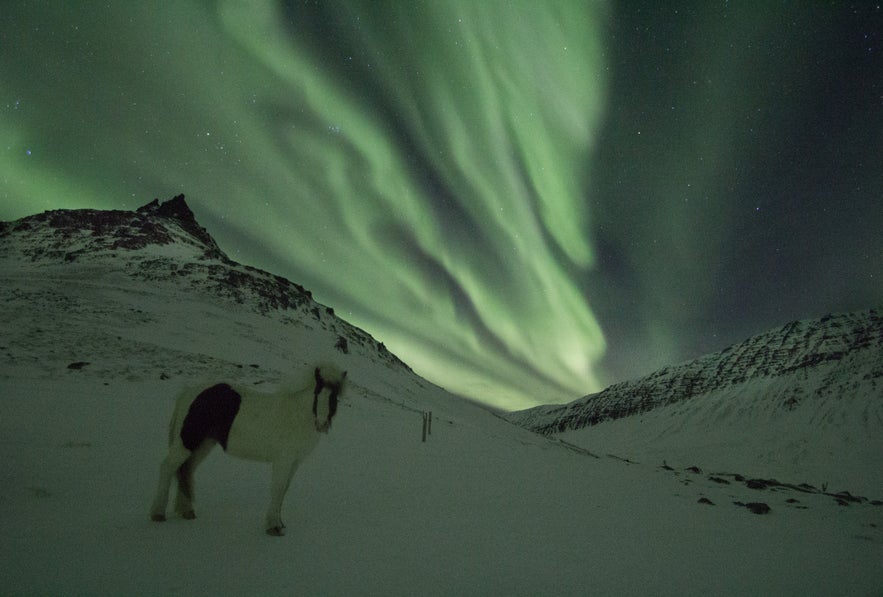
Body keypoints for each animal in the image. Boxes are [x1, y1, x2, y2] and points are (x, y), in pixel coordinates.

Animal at [150, 364, 348, 536]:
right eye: (317, 393)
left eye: (334, 397)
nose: (321, 424)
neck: (297, 416)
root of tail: (189, 392)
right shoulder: (283, 461)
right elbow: (278, 488)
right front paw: (273, 526)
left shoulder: (294, 462)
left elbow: (284, 489)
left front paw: (280, 522)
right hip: (187, 443)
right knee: (167, 467)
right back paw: (158, 513)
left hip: (203, 444)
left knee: (187, 469)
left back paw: (187, 511)